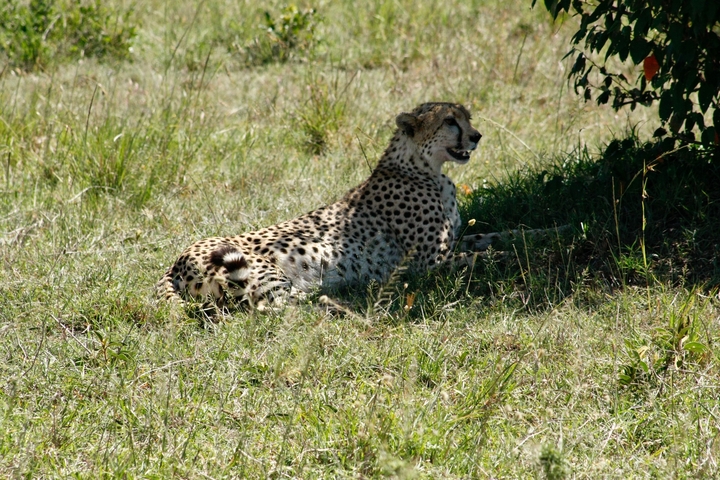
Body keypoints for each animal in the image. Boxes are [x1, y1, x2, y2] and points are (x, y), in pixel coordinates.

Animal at [156, 102, 485, 311]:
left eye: (467, 117)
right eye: (450, 121)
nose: (477, 136)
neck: (424, 168)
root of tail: (175, 262)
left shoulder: (452, 243)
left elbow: (485, 239)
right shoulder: (428, 263)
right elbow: (480, 257)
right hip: (264, 273)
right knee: (268, 307)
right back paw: (337, 300)